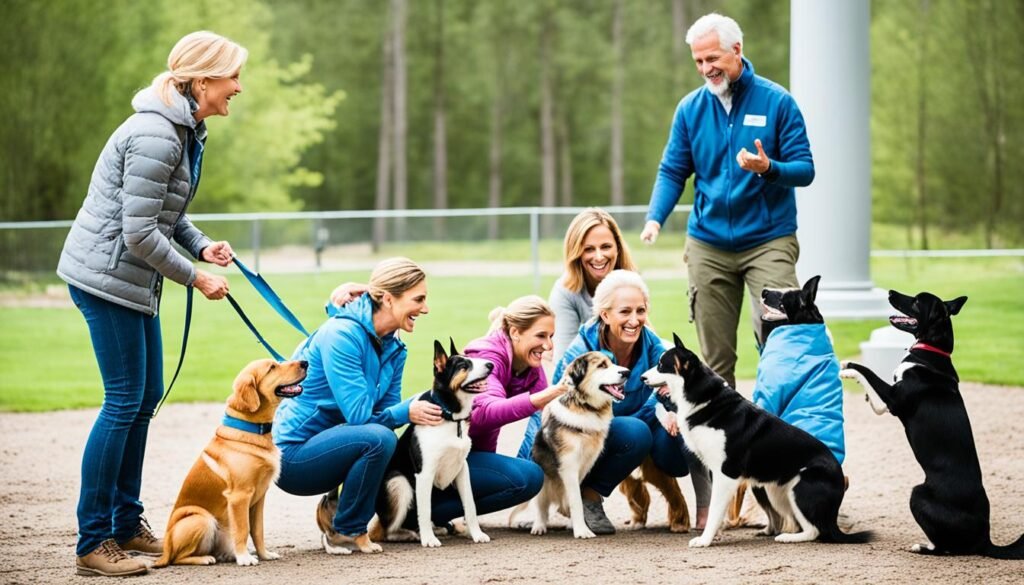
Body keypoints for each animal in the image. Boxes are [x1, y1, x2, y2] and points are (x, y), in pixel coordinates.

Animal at [149, 356, 305, 569]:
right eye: (272, 367)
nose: (305, 363)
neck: (251, 431)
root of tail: (164, 550)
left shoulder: (260, 497)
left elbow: (258, 531)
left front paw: (264, 554)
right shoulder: (239, 497)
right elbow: (242, 530)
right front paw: (244, 558)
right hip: (202, 518)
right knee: (177, 558)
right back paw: (205, 558)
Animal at [366, 340, 493, 549]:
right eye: (463, 366)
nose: (491, 365)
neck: (451, 417)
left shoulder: (462, 469)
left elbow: (470, 506)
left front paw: (477, 534)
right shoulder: (424, 473)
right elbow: (424, 511)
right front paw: (428, 540)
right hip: (399, 483)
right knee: (382, 531)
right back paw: (412, 535)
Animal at [643, 336, 868, 549]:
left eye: (661, 365)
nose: (641, 377)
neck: (706, 400)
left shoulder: (726, 475)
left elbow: (715, 509)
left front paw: (705, 540)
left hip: (798, 489)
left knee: (814, 530)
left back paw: (787, 538)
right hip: (776, 492)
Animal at [839, 290, 1024, 561]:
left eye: (917, 301)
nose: (891, 292)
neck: (931, 351)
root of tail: (985, 540)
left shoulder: (894, 399)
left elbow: (867, 371)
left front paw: (849, 368)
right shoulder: (887, 404)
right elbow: (873, 395)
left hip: (918, 494)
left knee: (948, 549)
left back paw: (923, 547)